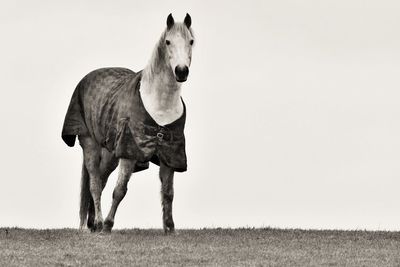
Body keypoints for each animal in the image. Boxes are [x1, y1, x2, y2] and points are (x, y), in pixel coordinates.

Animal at [60, 13, 195, 234]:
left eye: (191, 41)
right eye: (168, 42)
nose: (181, 71)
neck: (159, 104)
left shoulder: (170, 153)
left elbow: (168, 193)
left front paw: (170, 228)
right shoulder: (130, 151)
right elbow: (120, 190)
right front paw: (108, 225)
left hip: (110, 154)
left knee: (101, 180)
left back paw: (92, 223)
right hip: (90, 144)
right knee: (95, 183)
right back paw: (98, 223)